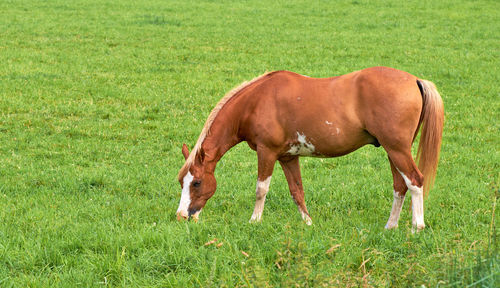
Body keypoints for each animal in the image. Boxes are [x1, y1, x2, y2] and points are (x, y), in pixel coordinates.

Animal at [175, 66, 442, 231]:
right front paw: (308, 223)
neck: (256, 101)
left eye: (196, 182)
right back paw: (390, 226)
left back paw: (417, 227)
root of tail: (415, 80)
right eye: (181, 183)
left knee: (415, 181)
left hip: (397, 150)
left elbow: (261, 189)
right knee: (400, 186)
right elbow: (297, 191)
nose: (182, 216)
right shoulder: (287, 157)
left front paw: (254, 221)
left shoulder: (266, 152)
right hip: (392, 151)